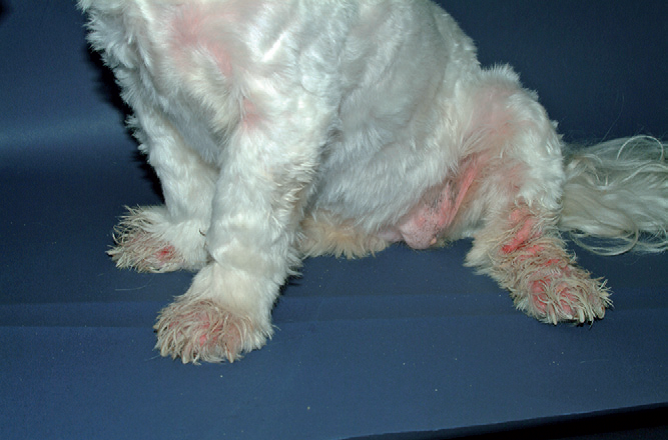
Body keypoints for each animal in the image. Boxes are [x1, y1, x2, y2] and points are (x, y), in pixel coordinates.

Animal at [79, 0, 667, 364]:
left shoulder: (280, 106)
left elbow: (242, 223)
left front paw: (222, 307)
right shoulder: (146, 89)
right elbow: (185, 183)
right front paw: (182, 241)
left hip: (511, 113)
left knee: (517, 233)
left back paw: (550, 278)